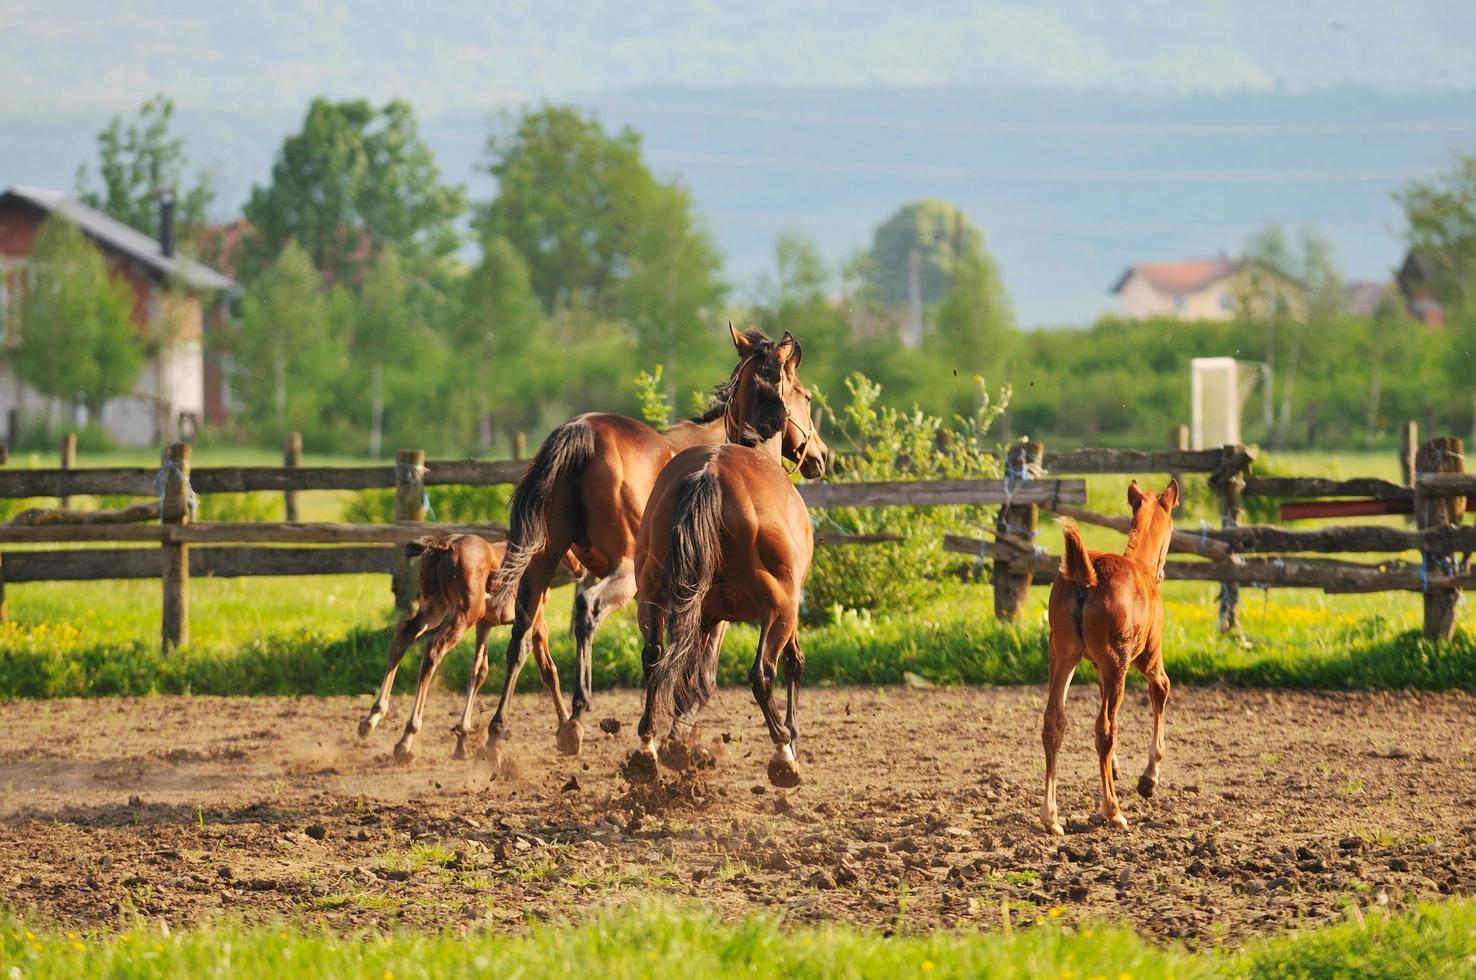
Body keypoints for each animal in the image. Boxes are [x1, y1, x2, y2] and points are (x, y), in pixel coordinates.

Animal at [484, 324, 832, 752]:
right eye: (807, 396)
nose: (820, 455)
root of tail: (580, 430)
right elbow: (704, 673)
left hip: (543, 562)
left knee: (521, 634)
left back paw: (503, 729)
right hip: (626, 573)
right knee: (588, 610)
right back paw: (579, 713)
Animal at [1045, 478, 1180, 832]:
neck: (1141, 567)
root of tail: (1086, 578)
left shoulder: (1097, 667)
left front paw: (1116, 769)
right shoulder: (1147, 658)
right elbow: (1161, 688)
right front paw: (1148, 779)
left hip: (1063, 656)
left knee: (1054, 723)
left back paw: (1051, 817)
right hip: (1117, 663)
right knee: (1105, 729)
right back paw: (1113, 810)